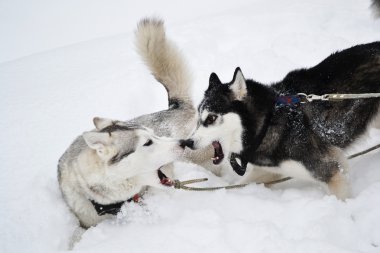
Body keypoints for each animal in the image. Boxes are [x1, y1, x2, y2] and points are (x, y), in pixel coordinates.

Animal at [184, 41, 380, 200]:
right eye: (198, 118)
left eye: (211, 118)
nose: (188, 142)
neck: (267, 123)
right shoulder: (271, 170)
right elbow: (238, 185)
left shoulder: (330, 170)